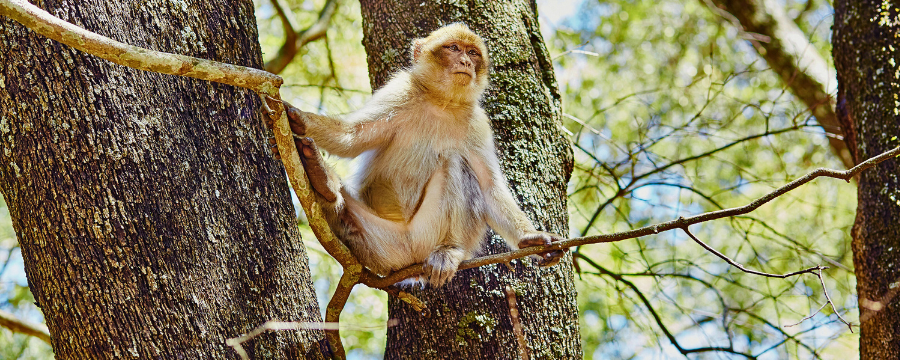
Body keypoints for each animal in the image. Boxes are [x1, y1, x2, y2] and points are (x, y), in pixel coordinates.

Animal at [274, 23, 568, 286]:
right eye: (453, 48)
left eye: (473, 53)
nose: (465, 61)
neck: (442, 103)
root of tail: (410, 260)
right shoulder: (399, 93)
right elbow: (352, 137)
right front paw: (298, 119)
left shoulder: (478, 124)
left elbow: (489, 187)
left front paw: (530, 239)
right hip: (383, 246)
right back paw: (323, 183)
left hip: (427, 234)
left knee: (455, 162)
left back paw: (449, 250)